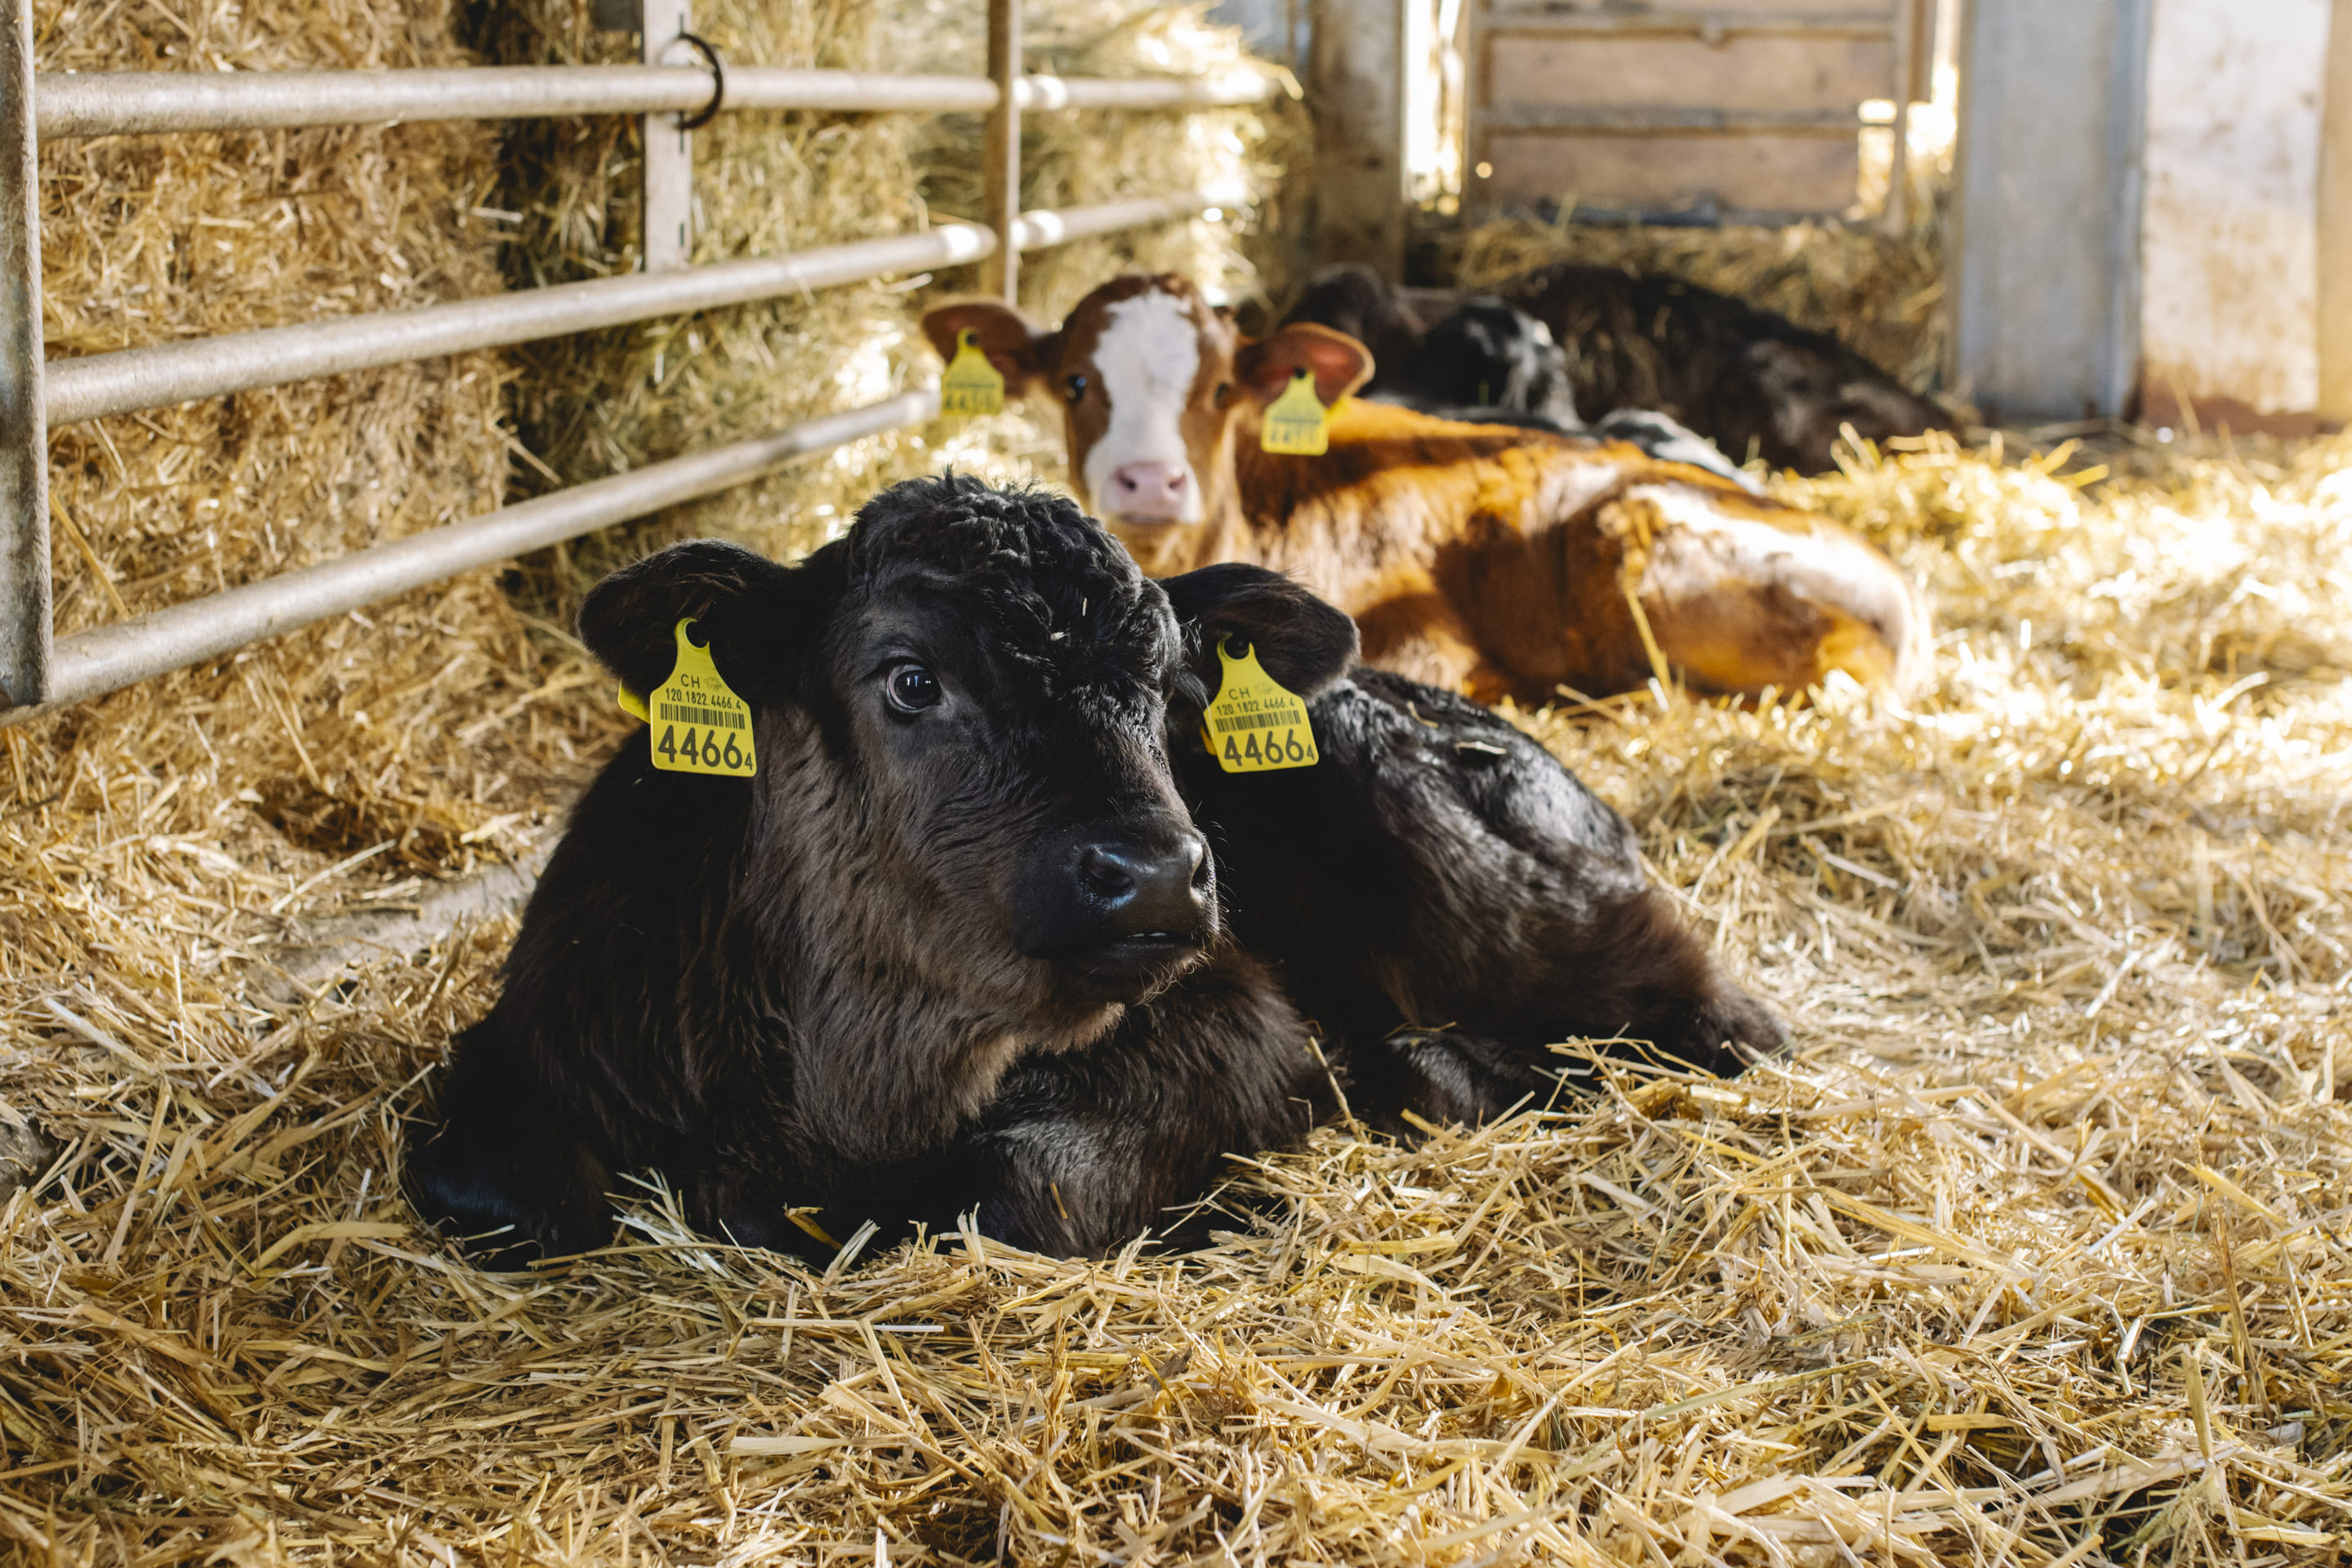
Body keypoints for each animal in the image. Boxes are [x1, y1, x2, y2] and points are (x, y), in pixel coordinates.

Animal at [413, 482, 1768, 1278]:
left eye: (1169, 686)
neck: (860, 1078)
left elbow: (1029, 1182)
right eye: (911, 678)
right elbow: (497, 1189)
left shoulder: (1244, 1024)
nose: (1160, 875)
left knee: (1719, 1021)